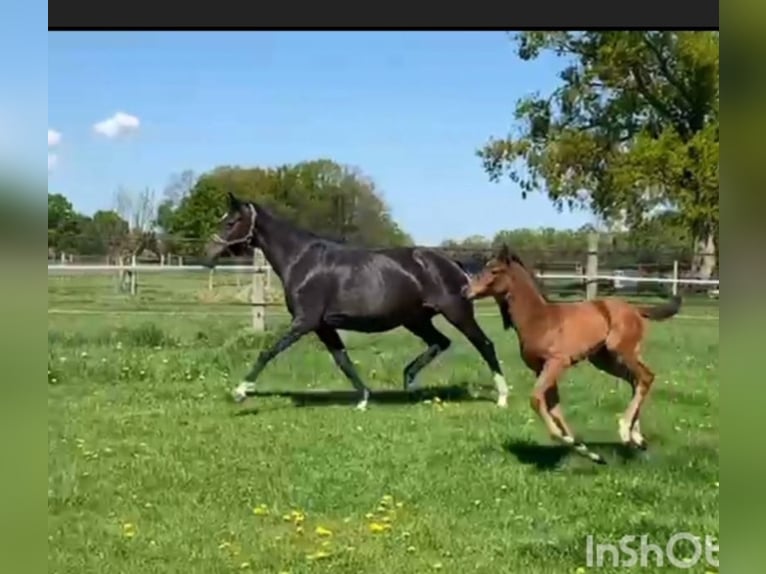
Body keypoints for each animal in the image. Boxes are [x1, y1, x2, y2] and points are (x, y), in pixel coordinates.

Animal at [202, 192, 510, 410]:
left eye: (231, 222)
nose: (208, 254)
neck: (302, 261)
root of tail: (452, 263)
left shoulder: (305, 321)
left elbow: (268, 351)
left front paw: (241, 391)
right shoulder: (324, 326)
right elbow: (343, 361)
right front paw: (363, 399)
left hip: (456, 312)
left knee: (484, 344)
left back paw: (502, 396)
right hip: (416, 319)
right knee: (440, 342)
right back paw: (409, 381)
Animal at [461, 244, 682, 464]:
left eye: (494, 271)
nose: (465, 291)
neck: (538, 319)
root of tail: (635, 309)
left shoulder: (557, 362)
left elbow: (537, 399)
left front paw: (564, 438)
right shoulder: (539, 368)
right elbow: (554, 406)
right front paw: (587, 451)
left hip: (621, 351)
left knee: (646, 377)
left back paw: (625, 431)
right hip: (604, 360)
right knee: (635, 381)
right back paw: (637, 437)